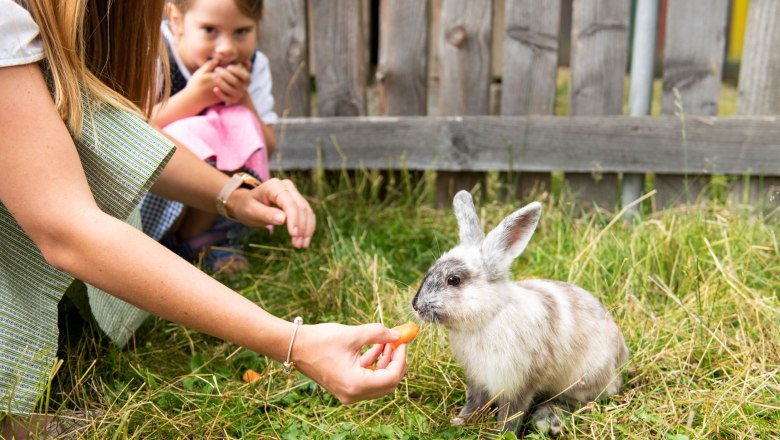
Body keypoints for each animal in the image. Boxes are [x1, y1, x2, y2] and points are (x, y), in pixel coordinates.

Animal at [412, 191, 629, 435]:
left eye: (453, 280)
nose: (416, 306)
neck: (489, 317)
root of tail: (620, 363)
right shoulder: (478, 379)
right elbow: (475, 401)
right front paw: (461, 421)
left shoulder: (519, 383)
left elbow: (511, 413)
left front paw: (499, 435)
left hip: (583, 380)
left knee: (581, 401)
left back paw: (548, 419)